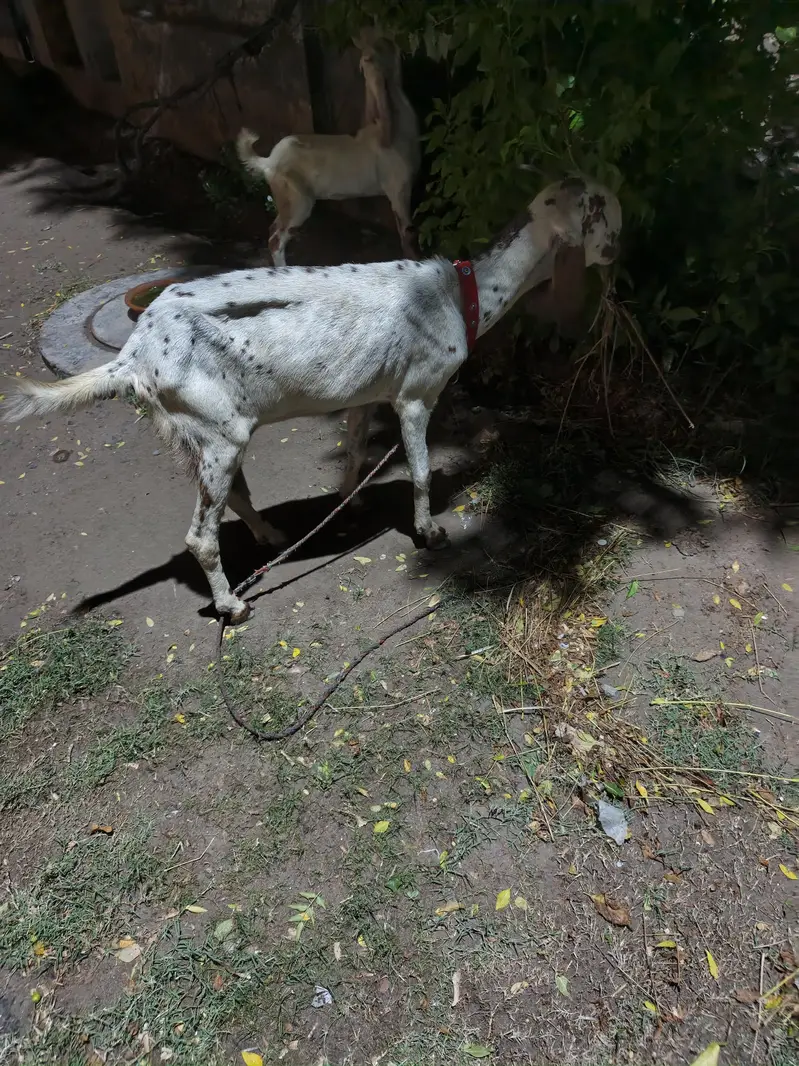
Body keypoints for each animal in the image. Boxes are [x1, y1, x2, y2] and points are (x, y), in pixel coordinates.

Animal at [3, 177, 621, 624]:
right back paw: (232, 604)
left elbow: (354, 450)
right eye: (609, 215)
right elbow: (422, 473)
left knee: (235, 497)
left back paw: (272, 537)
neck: (457, 293)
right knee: (200, 536)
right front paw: (429, 533)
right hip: (219, 436)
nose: (620, 255)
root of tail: (134, 354)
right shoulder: (415, 396)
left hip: (201, 435)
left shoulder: (367, 394)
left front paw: (348, 501)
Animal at [236, 33, 420, 266]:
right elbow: (408, 236)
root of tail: (269, 161)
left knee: (273, 230)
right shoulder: (399, 190)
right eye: (369, 57)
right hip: (298, 201)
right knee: (276, 239)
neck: (393, 131)